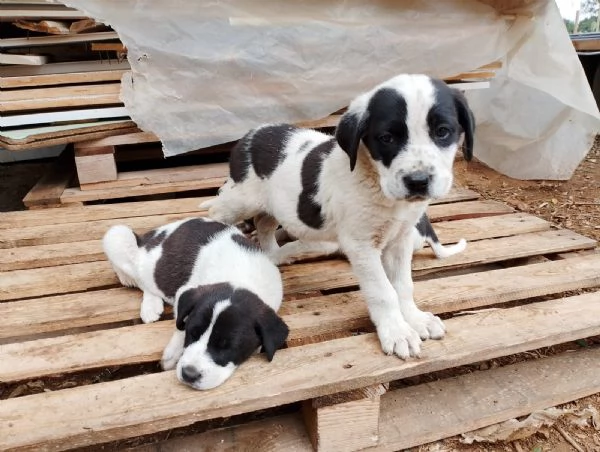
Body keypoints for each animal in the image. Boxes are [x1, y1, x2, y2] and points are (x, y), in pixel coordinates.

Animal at [102, 217, 288, 390]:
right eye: (192, 333)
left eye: (228, 346)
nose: (189, 374)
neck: (241, 277)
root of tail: (147, 236)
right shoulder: (184, 291)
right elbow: (180, 324)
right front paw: (172, 355)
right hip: (118, 235)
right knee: (140, 279)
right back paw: (145, 299)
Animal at [202, 74, 474, 360]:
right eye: (386, 138)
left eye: (442, 132)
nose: (418, 181)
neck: (381, 189)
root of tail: (250, 135)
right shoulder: (361, 245)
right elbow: (383, 291)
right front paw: (396, 331)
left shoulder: (400, 239)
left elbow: (403, 285)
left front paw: (415, 319)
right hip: (241, 200)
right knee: (217, 212)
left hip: (273, 204)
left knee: (264, 225)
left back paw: (274, 255)